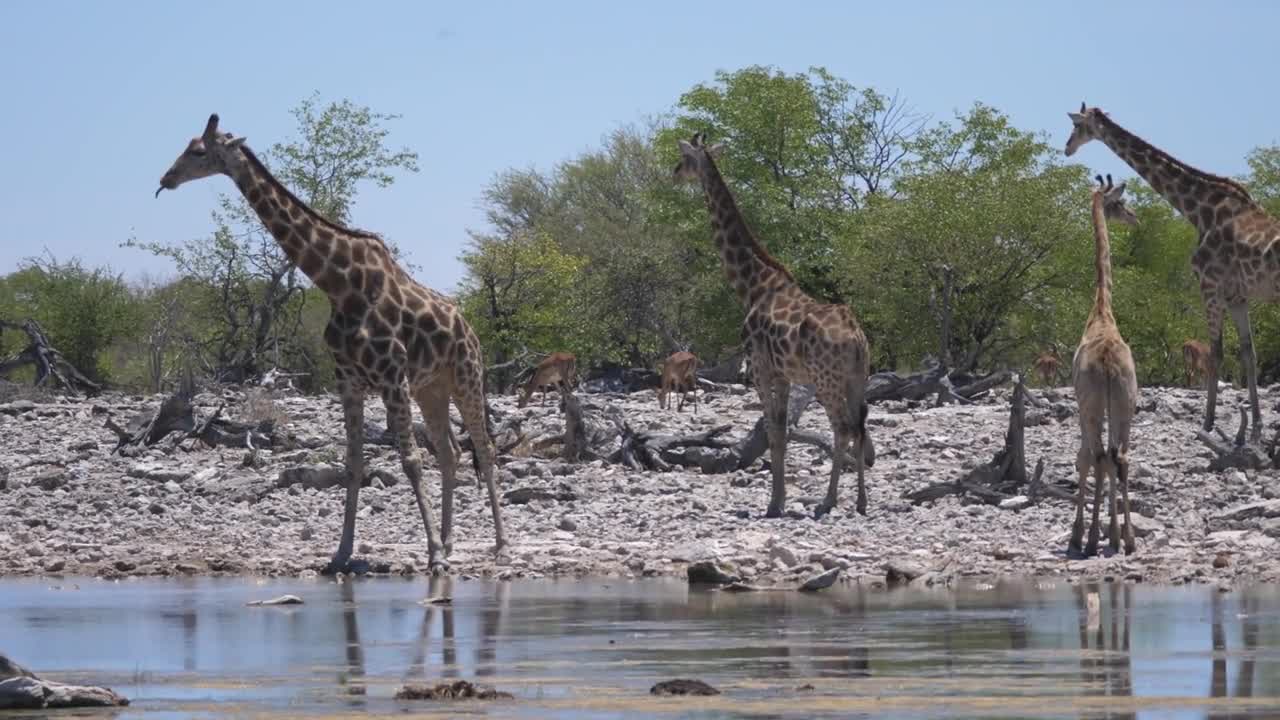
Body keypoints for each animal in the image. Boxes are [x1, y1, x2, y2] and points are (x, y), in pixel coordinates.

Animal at [154, 113, 504, 571]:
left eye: (198, 151)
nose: (166, 179)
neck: (339, 284)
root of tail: (471, 329)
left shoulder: (392, 378)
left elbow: (410, 461)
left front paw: (431, 554)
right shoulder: (349, 381)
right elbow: (353, 463)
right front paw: (341, 553)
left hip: (466, 378)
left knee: (485, 448)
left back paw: (498, 544)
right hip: (432, 388)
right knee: (451, 452)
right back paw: (449, 541)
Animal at [675, 133, 875, 515]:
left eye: (685, 158)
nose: (674, 173)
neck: (752, 286)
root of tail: (857, 339)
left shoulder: (759, 369)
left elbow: (772, 432)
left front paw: (774, 504)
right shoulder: (783, 375)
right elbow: (781, 433)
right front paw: (779, 500)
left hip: (826, 380)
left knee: (842, 427)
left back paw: (827, 502)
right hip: (857, 378)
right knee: (859, 425)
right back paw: (860, 502)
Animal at [1059, 99, 1280, 438]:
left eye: (1076, 125)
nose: (1067, 148)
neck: (1198, 210)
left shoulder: (1209, 285)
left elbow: (1216, 354)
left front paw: (1208, 423)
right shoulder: (1237, 296)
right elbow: (1249, 354)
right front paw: (1255, 427)